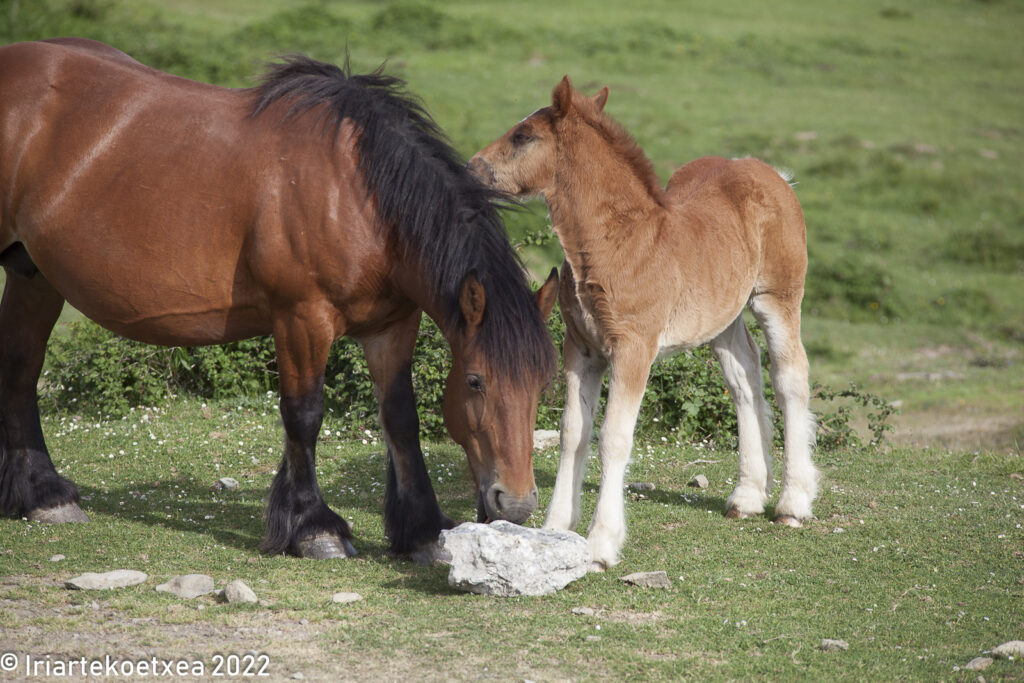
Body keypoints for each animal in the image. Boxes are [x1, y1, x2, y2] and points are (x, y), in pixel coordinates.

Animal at [0, 38, 557, 561]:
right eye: (476, 381)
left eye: (542, 385)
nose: (516, 504)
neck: (361, 196)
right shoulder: (301, 317)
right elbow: (304, 415)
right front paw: (314, 527)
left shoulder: (392, 325)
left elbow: (400, 416)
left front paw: (420, 529)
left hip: (33, 274)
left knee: (22, 369)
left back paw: (44, 497)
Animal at [468, 77, 815, 569]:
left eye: (523, 135)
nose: (473, 167)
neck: (617, 242)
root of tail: (773, 175)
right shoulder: (581, 349)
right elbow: (573, 432)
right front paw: (556, 526)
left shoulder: (634, 348)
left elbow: (614, 436)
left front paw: (601, 543)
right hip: (721, 317)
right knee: (744, 378)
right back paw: (747, 496)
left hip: (777, 298)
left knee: (790, 377)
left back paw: (793, 503)